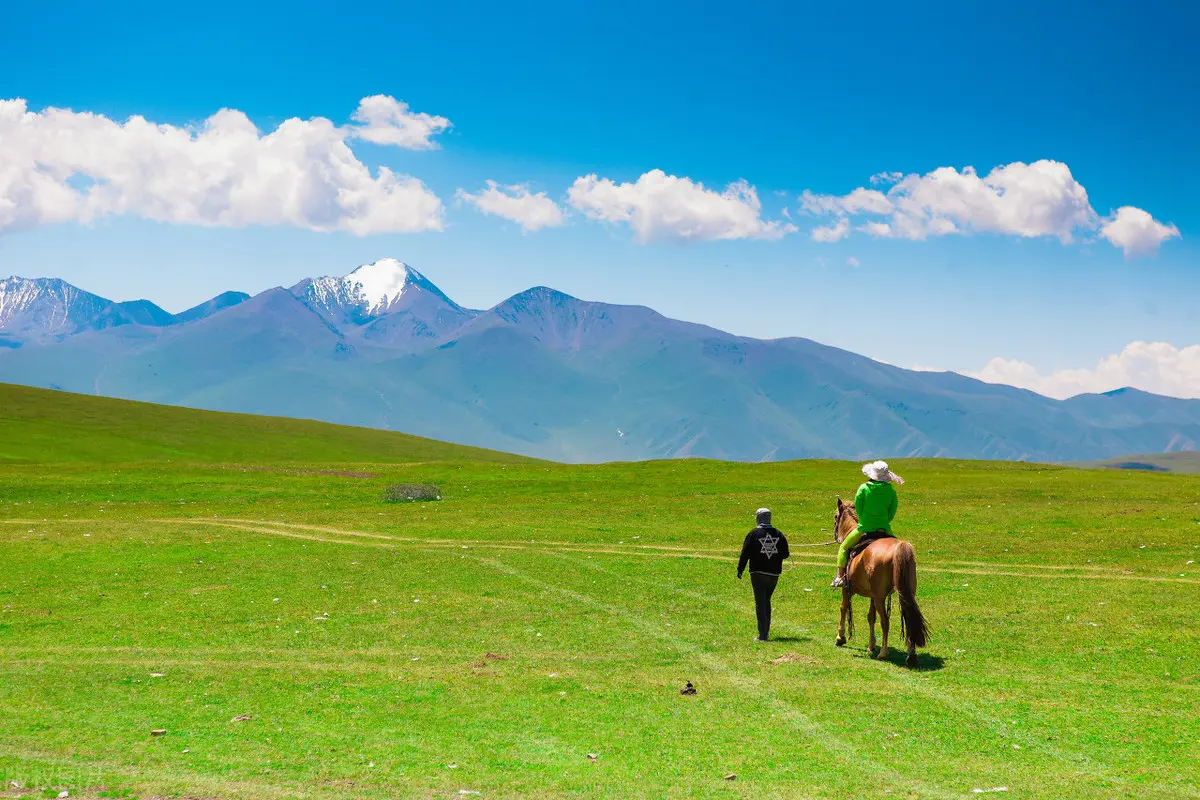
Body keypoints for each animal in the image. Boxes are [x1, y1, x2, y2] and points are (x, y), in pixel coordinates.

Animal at [835, 501, 926, 671]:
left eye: (835, 516)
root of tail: (899, 547)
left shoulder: (847, 589)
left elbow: (843, 608)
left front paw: (840, 637)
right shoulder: (872, 595)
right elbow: (871, 617)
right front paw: (871, 645)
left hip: (880, 597)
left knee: (886, 621)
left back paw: (883, 653)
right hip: (905, 593)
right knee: (909, 618)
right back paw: (911, 656)